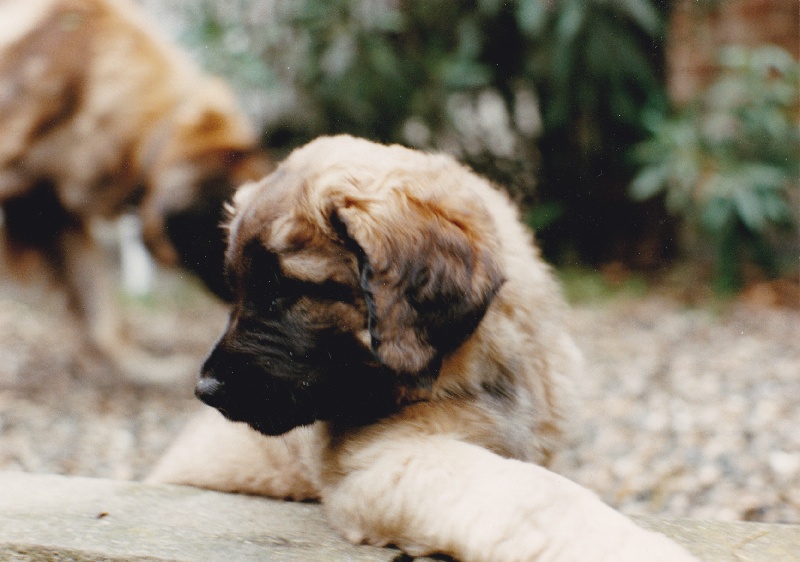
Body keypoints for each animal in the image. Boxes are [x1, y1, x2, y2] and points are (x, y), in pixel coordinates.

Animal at [148, 137, 692, 560]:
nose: (205, 389)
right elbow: (536, 496)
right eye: (237, 291)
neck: (476, 372)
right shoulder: (386, 459)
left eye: (285, 291)